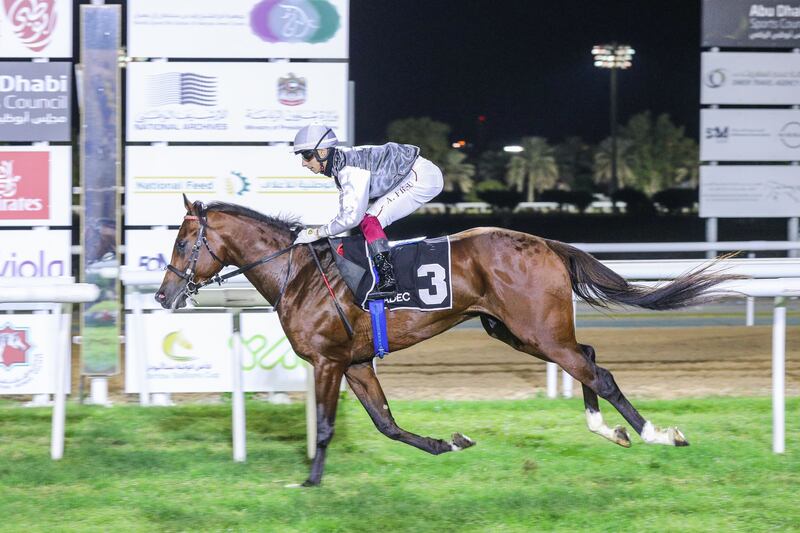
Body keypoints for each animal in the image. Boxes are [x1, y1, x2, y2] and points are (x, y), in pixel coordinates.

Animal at [158, 196, 736, 486]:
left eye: (184, 242)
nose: (164, 294)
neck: (297, 273)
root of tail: (546, 241)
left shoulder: (326, 361)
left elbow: (324, 426)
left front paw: (312, 482)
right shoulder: (356, 363)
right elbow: (387, 424)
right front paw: (448, 443)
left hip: (536, 331)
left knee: (599, 371)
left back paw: (658, 434)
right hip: (523, 332)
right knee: (587, 360)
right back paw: (607, 429)